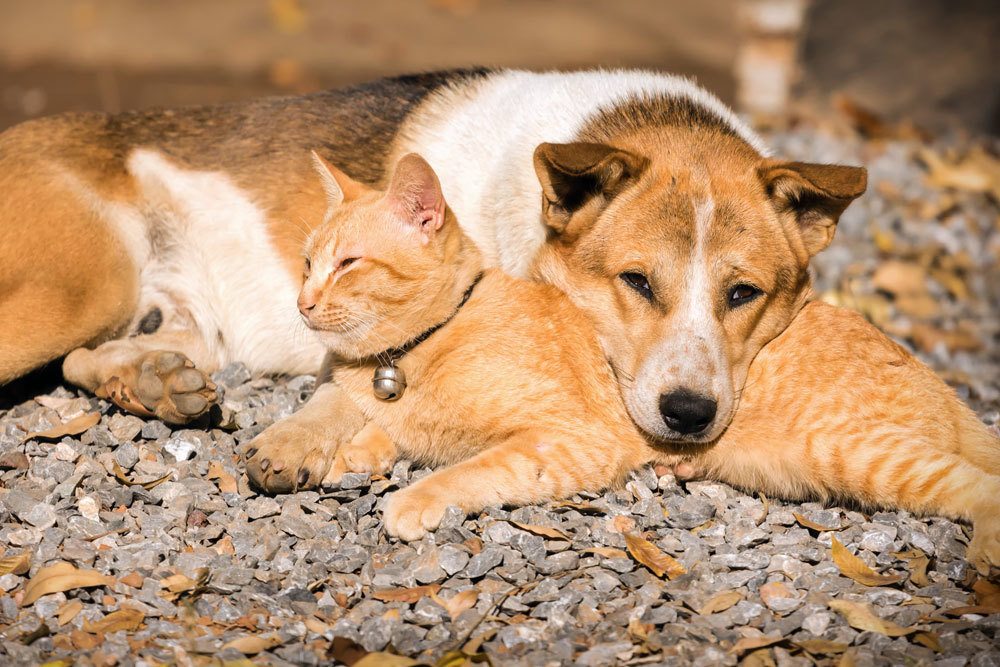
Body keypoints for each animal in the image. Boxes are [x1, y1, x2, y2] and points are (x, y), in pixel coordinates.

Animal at [0, 68, 860, 444]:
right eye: (636, 282)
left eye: (744, 294)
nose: (689, 414)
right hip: (81, 285)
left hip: (157, 316)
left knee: (87, 358)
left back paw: (150, 382)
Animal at [244, 153, 1000, 576]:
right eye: (307, 261)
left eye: (348, 263)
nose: (302, 300)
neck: (416, 350)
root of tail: (941, 382)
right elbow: (377, 431)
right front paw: (350, 453)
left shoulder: (568, 440)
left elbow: (469, 467)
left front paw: (410, 497)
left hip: (867, 454)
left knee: (978, 484)